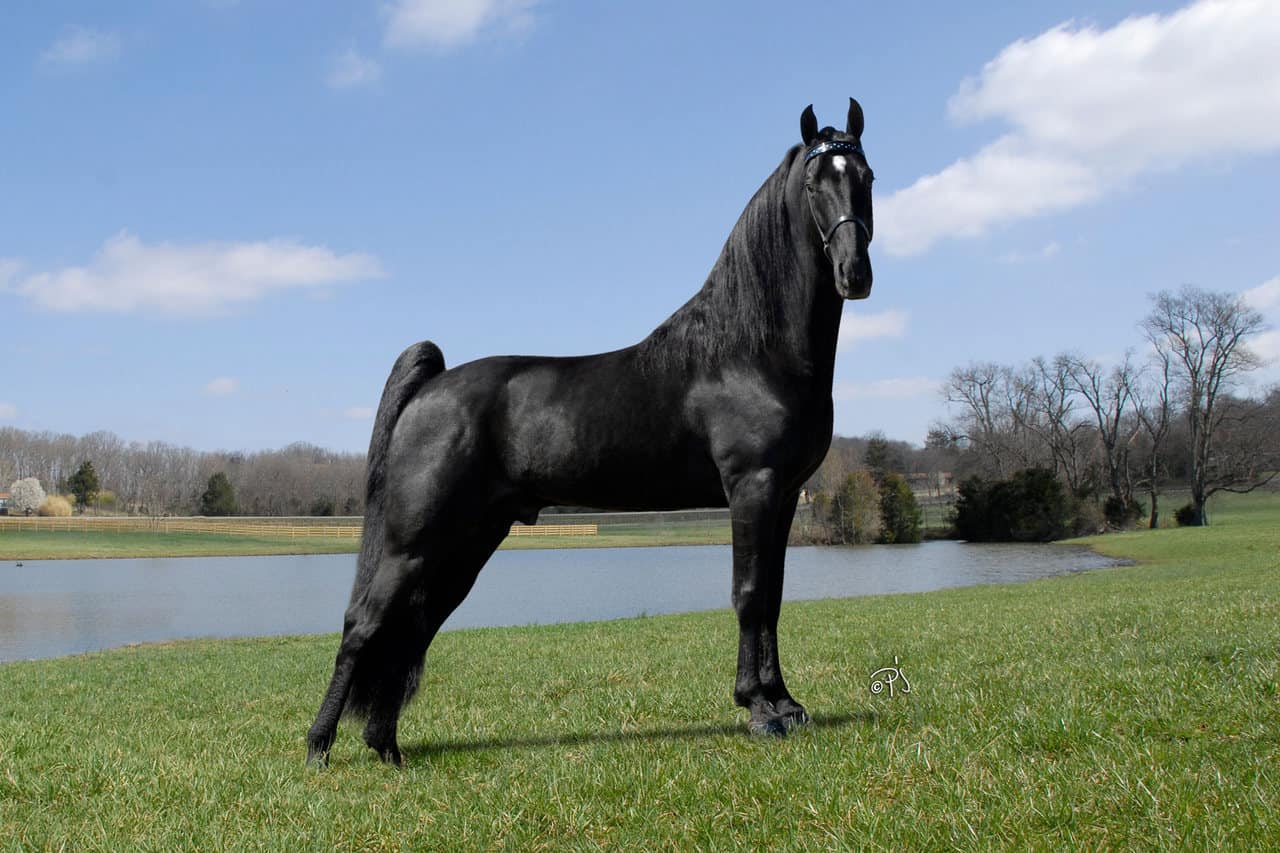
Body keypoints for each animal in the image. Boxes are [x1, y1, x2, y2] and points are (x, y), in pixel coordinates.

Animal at [307, 99, 875, 766]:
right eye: (814, 184)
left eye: (866, 176)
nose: (854, 273)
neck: (748, 353)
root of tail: (433, 386)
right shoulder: (751, 488)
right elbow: (750, 592)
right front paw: (758, 709)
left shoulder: (784, 497)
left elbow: (777, 598)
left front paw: (786, 704)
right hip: (412, 539)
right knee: (364, 623)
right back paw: (319, 749)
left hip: (468, 541)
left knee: (412, 627)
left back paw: (386, 747)